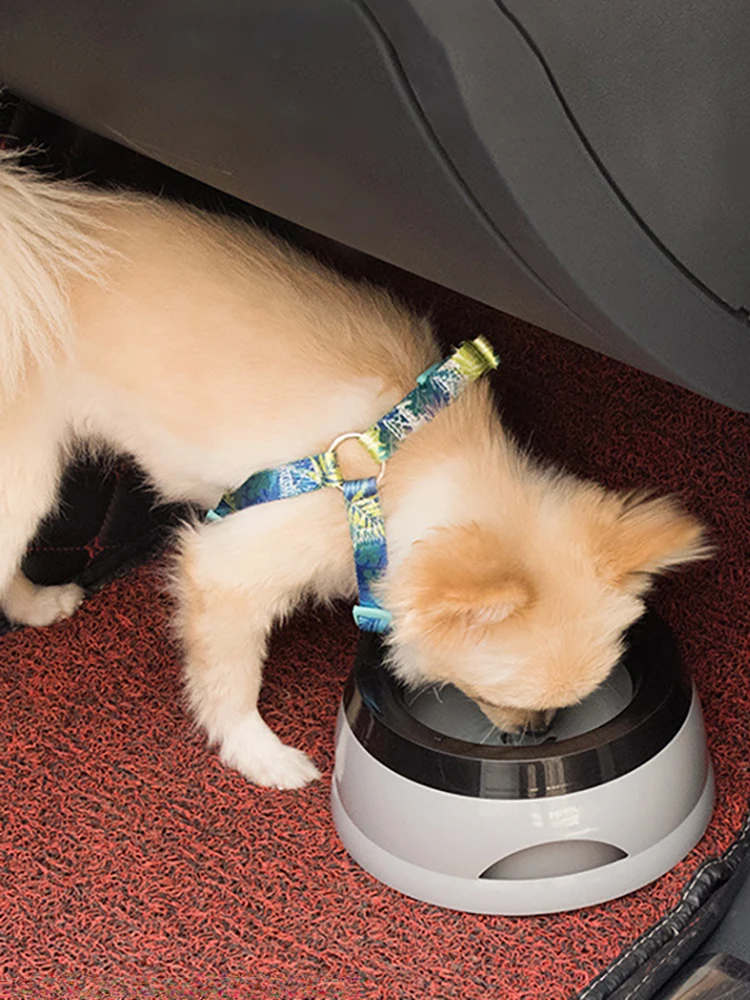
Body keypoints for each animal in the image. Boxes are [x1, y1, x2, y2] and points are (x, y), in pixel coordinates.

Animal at [0, 152, 709, 787]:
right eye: (510, 699)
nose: (536, 735)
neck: (399, 461)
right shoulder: (228, 569)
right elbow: (229, 680)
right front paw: (259, 756)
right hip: (24, 477)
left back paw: (40, 603)